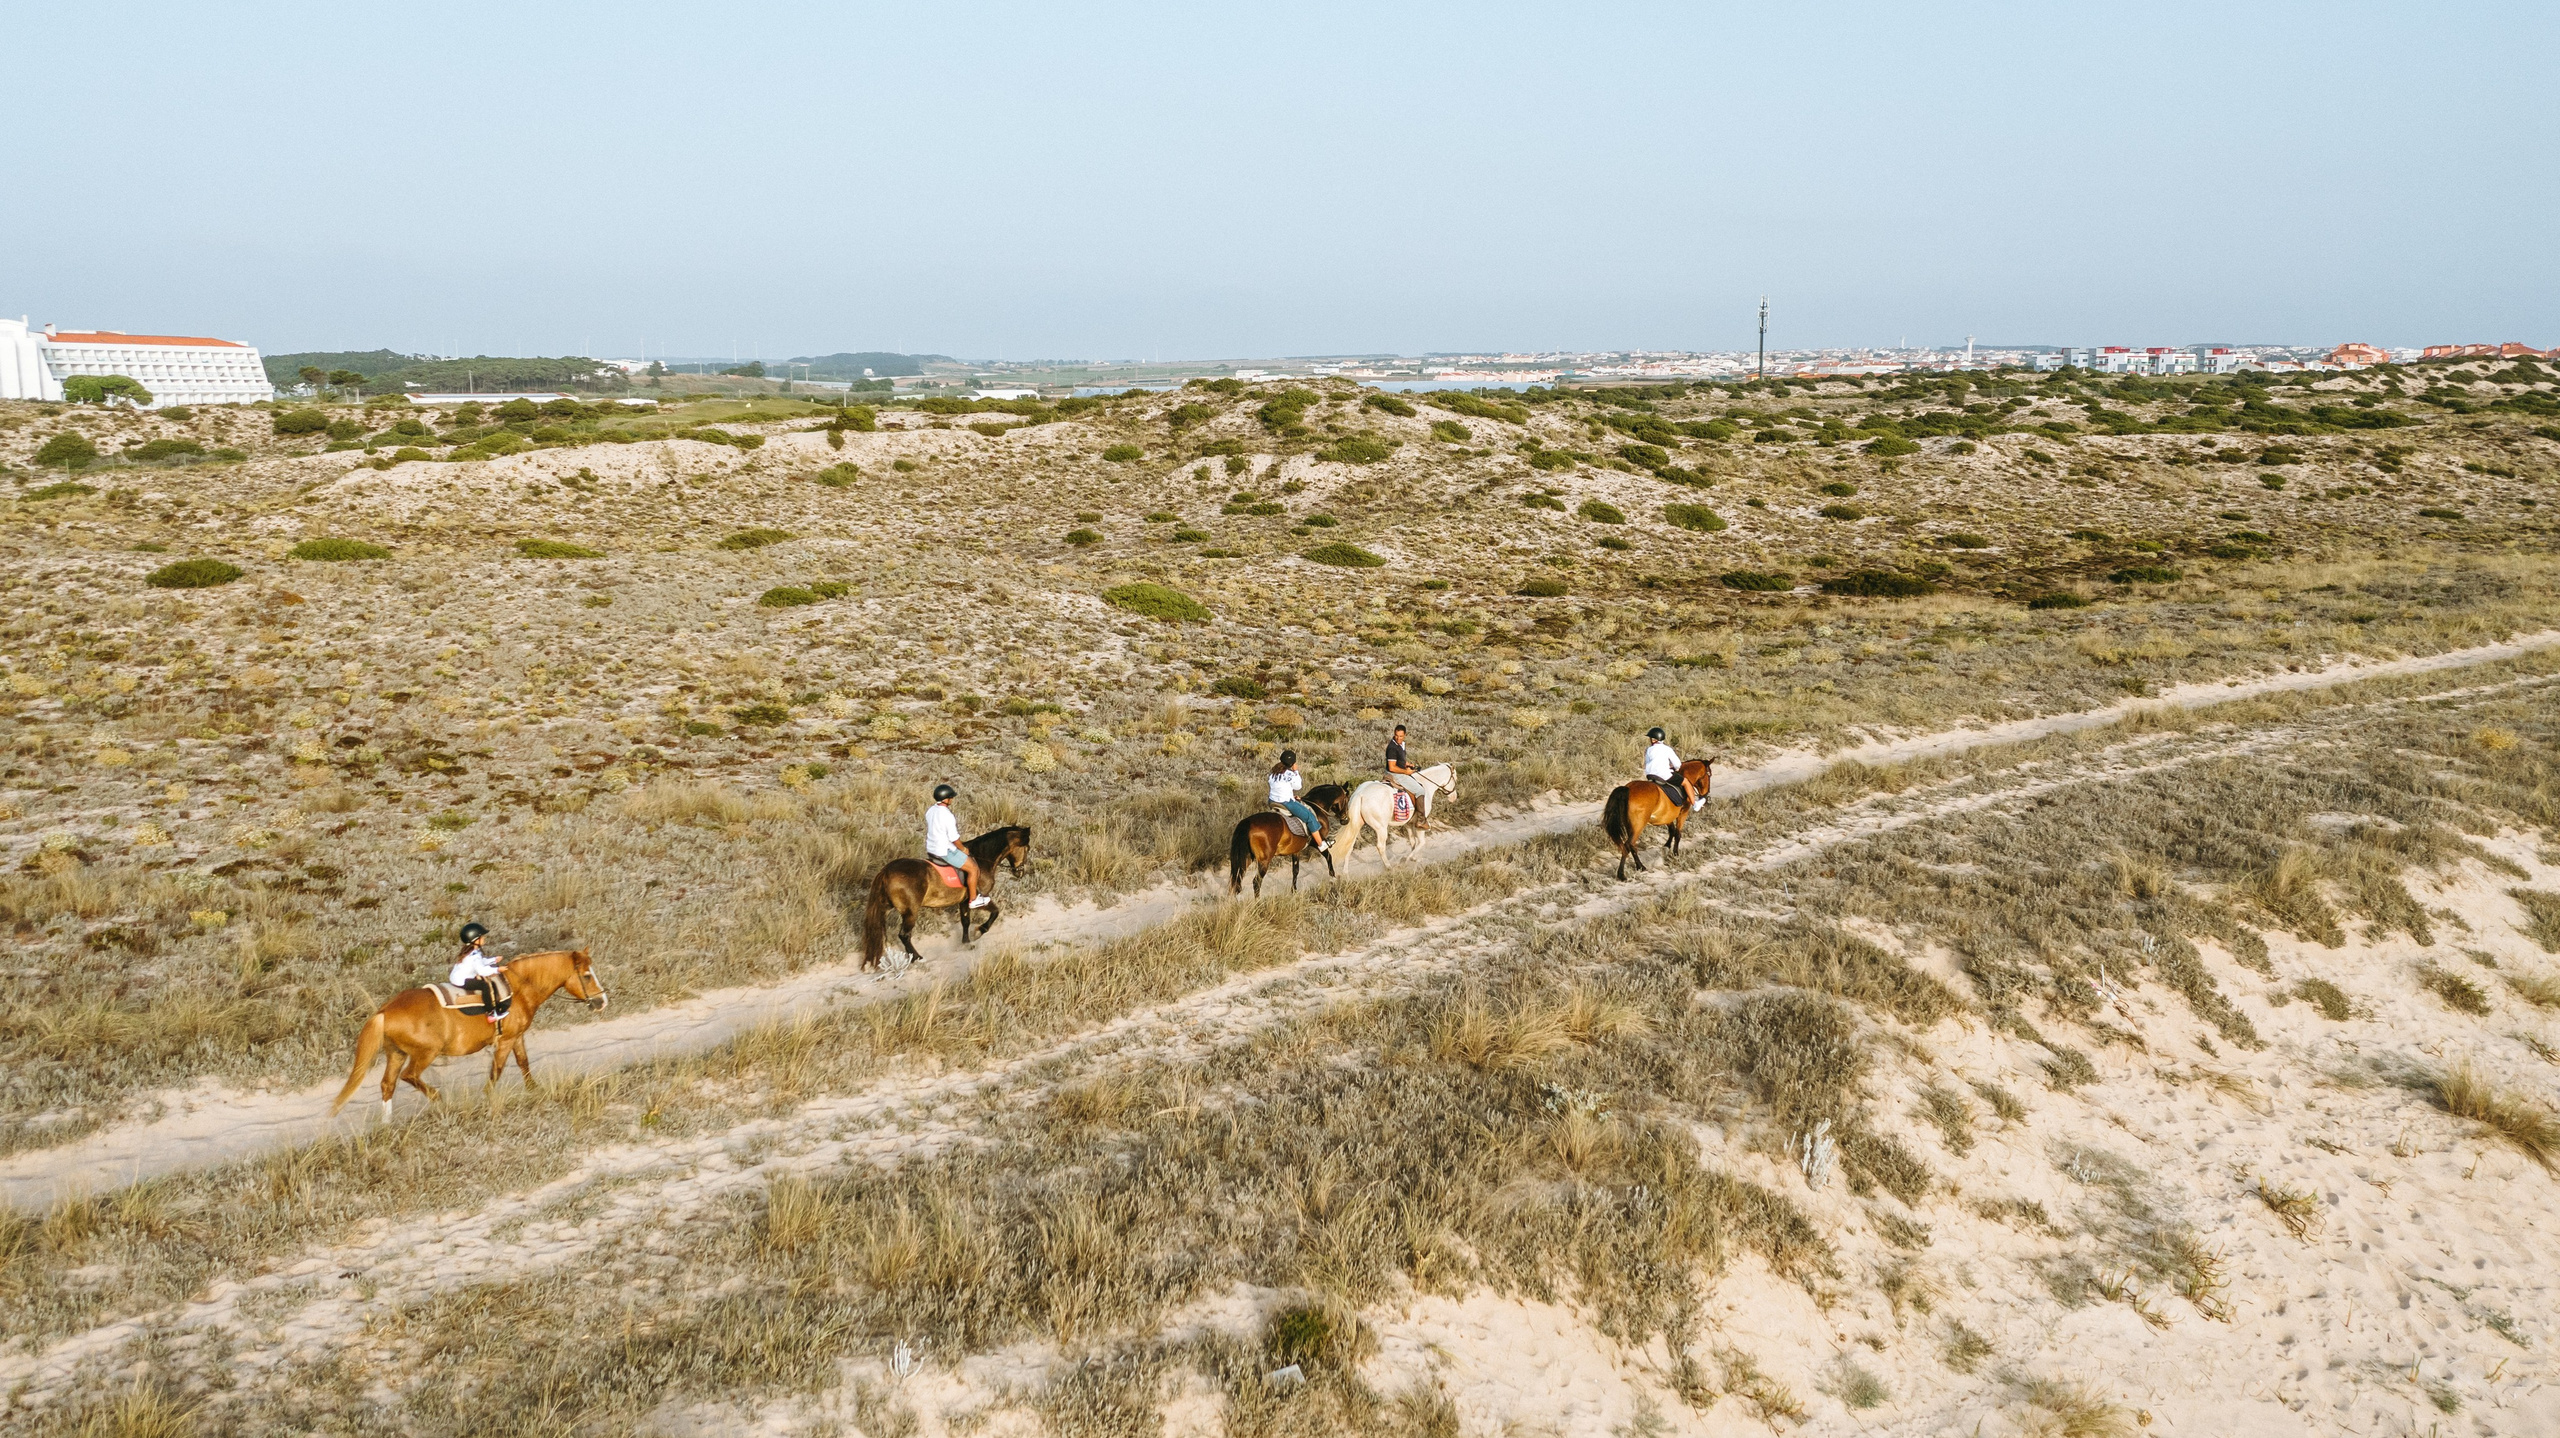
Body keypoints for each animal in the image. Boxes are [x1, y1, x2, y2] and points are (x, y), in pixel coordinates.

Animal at [329, 948, 609, 1118]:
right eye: (587, 975)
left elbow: (523, 1062)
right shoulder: (506, 1040)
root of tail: (385, 1011)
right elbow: (497, 1070)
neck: (518, 989)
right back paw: (438, 1098)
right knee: (410, 1076)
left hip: (395, 1053)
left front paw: (534, 1090)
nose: (602, 1001)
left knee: (388, 1084)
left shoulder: (517, 1037)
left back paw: (388, 1124)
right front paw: (487, 1098)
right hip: (425, 1054)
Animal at [860, 825, 1033, 971]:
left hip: (885, 908)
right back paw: (917, 957)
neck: (982, 859)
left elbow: (965, 921)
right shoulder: (980, 898)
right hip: (910, 912)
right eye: (1027, 848)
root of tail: (886, 871)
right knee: (904, 935)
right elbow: (995, 912)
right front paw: (980, 931)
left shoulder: (964, 902)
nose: (1021, 872)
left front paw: (966, 943)